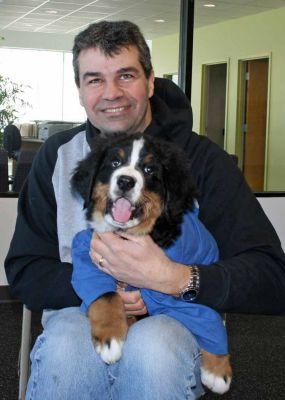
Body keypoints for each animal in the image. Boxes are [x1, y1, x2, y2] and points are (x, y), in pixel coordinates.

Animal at [70, 132, 231, 394]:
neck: (130, 234)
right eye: (115, 163)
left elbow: (207, 318)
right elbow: (105, 295)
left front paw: (218, 371)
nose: (125, 181)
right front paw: (110, 338)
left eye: (149, 170)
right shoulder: (88, 255)